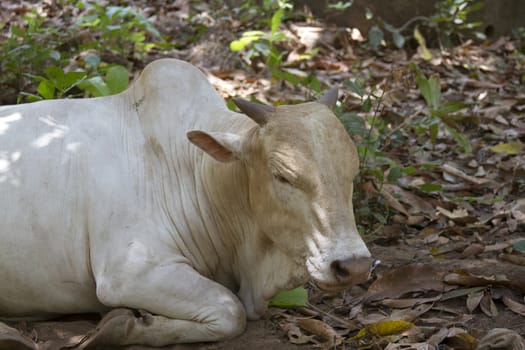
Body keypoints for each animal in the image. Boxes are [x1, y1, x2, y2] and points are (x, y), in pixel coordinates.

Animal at [1, 58, 372, 346]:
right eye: (282, 175)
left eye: (352, 172)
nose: (353, 265)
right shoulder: (129, 271)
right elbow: (231, 311)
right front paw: (124, 327)